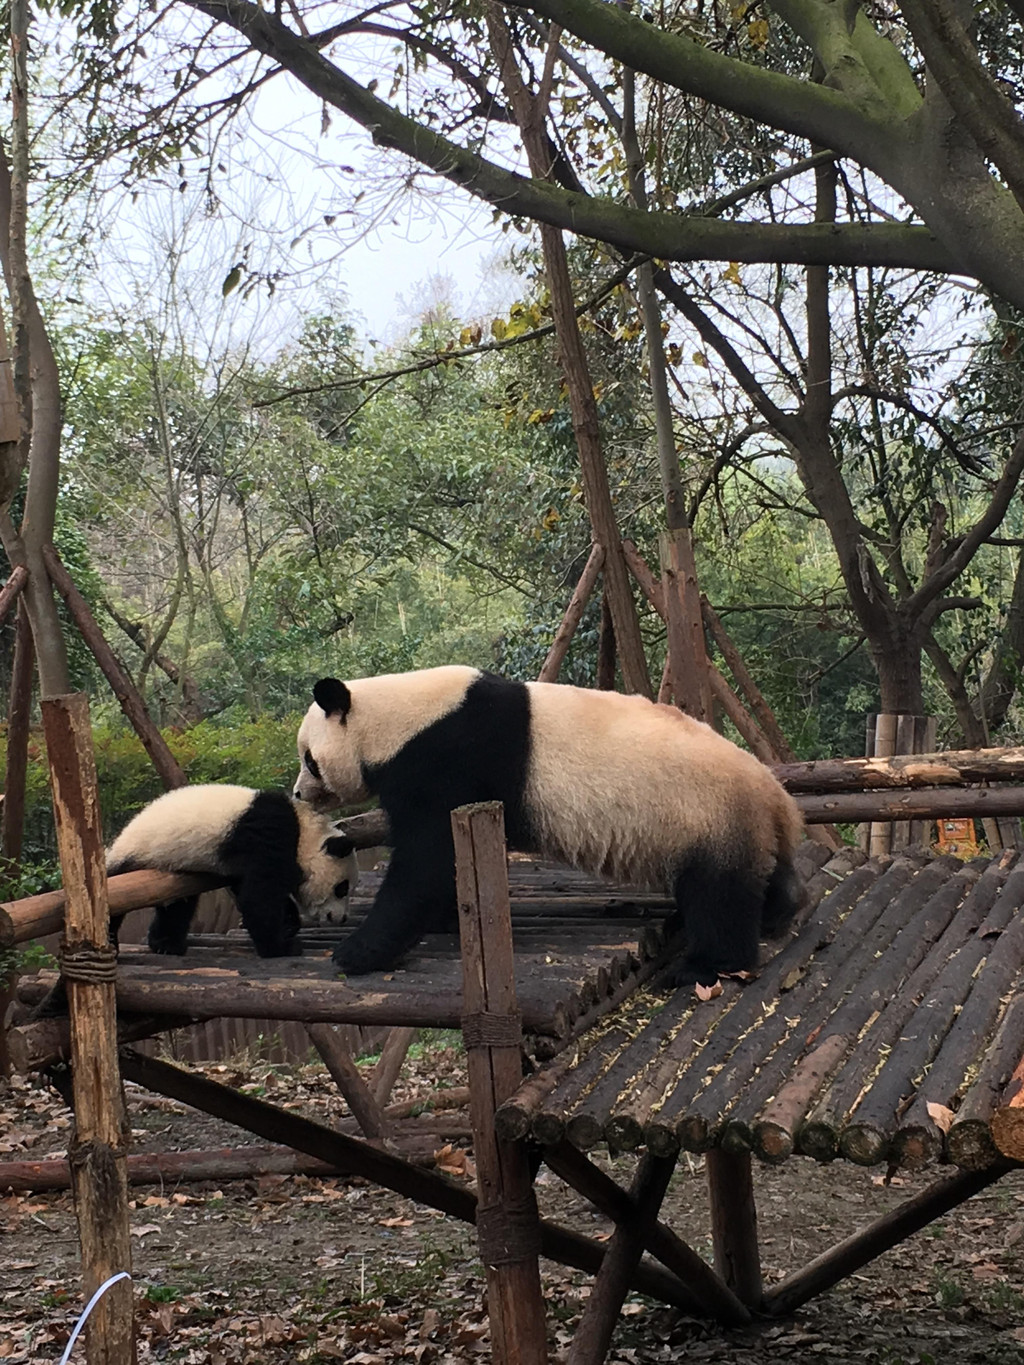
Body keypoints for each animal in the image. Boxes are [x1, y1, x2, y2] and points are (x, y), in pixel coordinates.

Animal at [108, 786, 360, 955]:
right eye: (342, 888)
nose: (341, 918)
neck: (305, 830)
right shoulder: (272, 831)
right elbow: (259, 894)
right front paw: (281, 947)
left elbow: (247, 887)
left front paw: (289, 923)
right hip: (132, 858)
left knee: (179, 907)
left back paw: (166, 944)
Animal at [292, 668, 808, 982]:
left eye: (309, 759)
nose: (298, 794)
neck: (400, 717)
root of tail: (778, 797)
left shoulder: (451, 758)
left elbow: (426, 862)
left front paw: (356, 952)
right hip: (742, 825)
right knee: (762, 878)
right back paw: (782, 909)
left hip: (707, 817)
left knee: (719, 896)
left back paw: (703, 967)